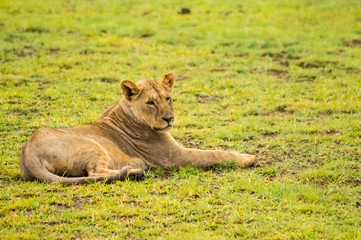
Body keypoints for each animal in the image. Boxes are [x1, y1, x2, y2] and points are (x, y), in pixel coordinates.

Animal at [19, 72, 256, 184]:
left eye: (168, 98)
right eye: (151, 103)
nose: (169, 118)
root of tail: (28, 152)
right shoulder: (174, 158)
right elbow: (214, 154)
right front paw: (248, 158)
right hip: (92, 146)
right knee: (95, 172)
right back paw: (135, 171)